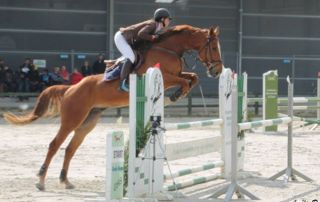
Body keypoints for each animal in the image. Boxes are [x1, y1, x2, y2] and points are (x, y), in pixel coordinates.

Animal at [3, 24, 222, 190]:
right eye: (213, 47)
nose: (218, 71)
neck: (168, 48)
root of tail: (70, 88)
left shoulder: (175, 75)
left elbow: (193, 77)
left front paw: (179, 93)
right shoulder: (165, 77)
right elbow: (184, 81)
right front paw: (177, 94)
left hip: (87, 122)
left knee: (70, 148)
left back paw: (65, 181)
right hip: (71, 119)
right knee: (54, 145)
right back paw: (40, 181)